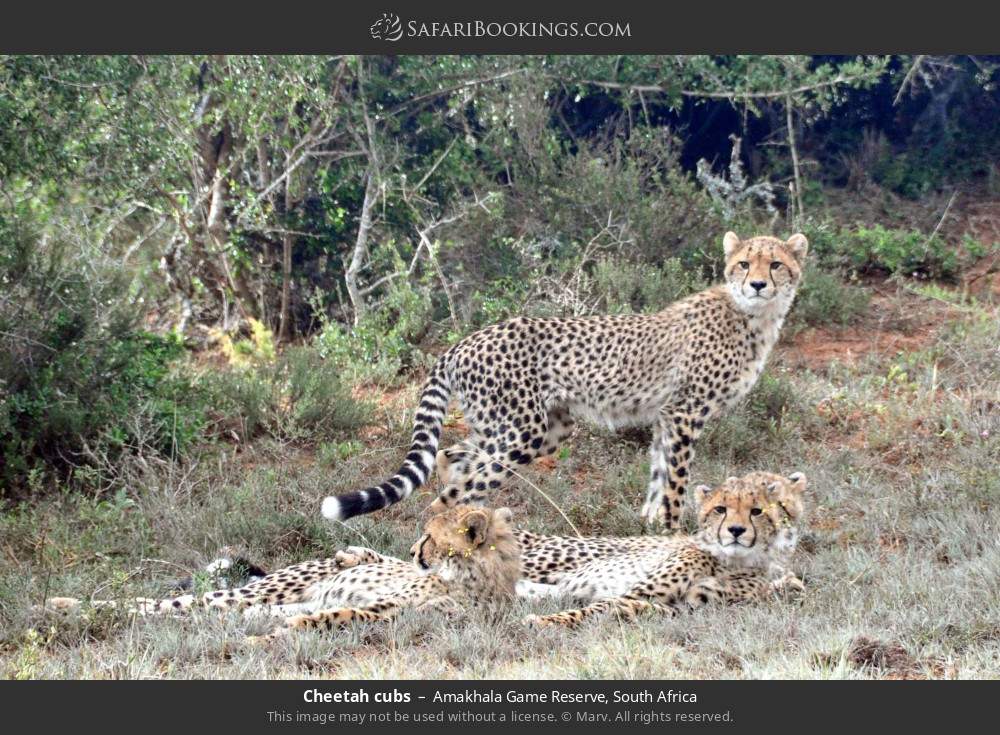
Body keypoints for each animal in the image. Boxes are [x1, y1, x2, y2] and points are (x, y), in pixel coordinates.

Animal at [321, 231, 808, 528]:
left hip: (535, 427)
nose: (758, 284)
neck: (751, 316)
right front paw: (676, 534)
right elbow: (676, 483)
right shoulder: (685, 414)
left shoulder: (665, 417)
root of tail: (463, 342)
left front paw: (650, 527)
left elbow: (658, 475)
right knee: (454, 490)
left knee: (452, 457)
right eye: (744, 264)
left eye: (776, 265)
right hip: (522, 431)